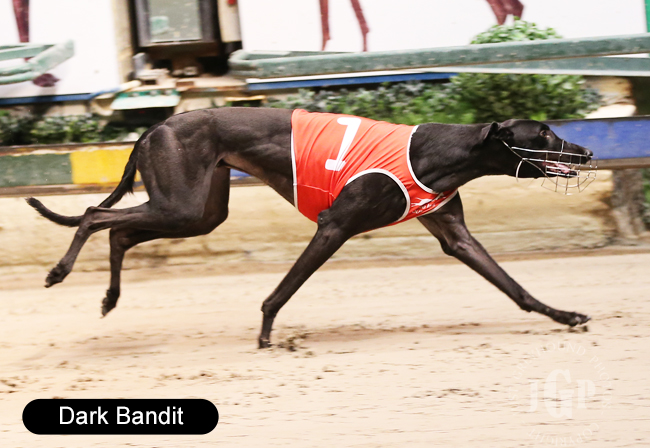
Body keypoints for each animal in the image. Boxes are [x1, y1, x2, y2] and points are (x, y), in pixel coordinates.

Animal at [27, 108, 594, 348]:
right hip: (181, 205)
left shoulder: (454, 235)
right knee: (96, 216)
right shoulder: (333, 227)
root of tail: (157, 124)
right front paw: (264, 335)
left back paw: (109, 298)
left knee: (119, 231)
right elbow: (282, 290)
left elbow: (514, 287)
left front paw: (564, 316)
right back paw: (58, 272)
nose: (587, 152)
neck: (445, 152)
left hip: (199, 213)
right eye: (543, 133)